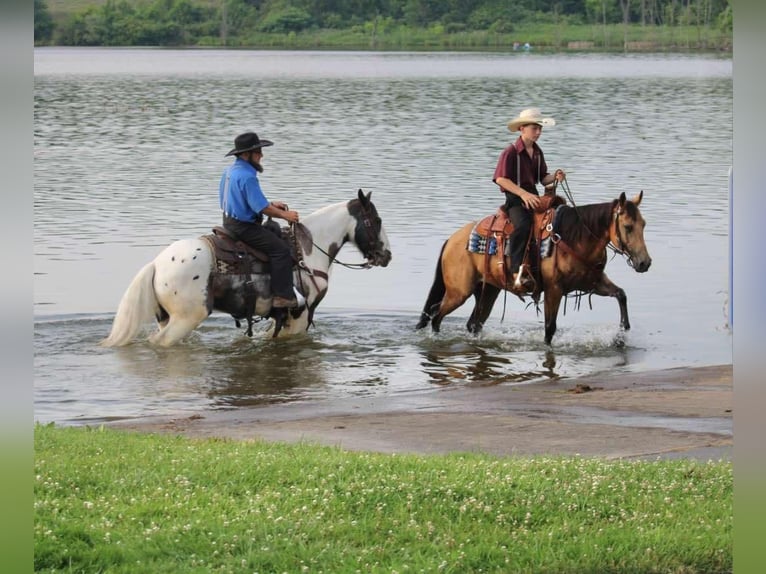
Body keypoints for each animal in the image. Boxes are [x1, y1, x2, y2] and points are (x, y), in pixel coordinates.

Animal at [100, 191, 392, 348]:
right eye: (376, 220)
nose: (387, 255)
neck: (308, 250)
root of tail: (157, 264)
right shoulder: (300, 313)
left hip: (167, 317)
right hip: (186, 318)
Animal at [416, 194, 652, 346]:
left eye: (643, 224)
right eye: (628, 227)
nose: (645, 263)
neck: (574, 238)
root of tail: (452, 240)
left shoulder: (592, 282)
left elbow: (621, 294)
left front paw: (621, 335)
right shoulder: (554, 289)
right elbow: (549, 327)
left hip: (488, 290)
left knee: (473, 323)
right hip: (459, 292)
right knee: (436, 314)